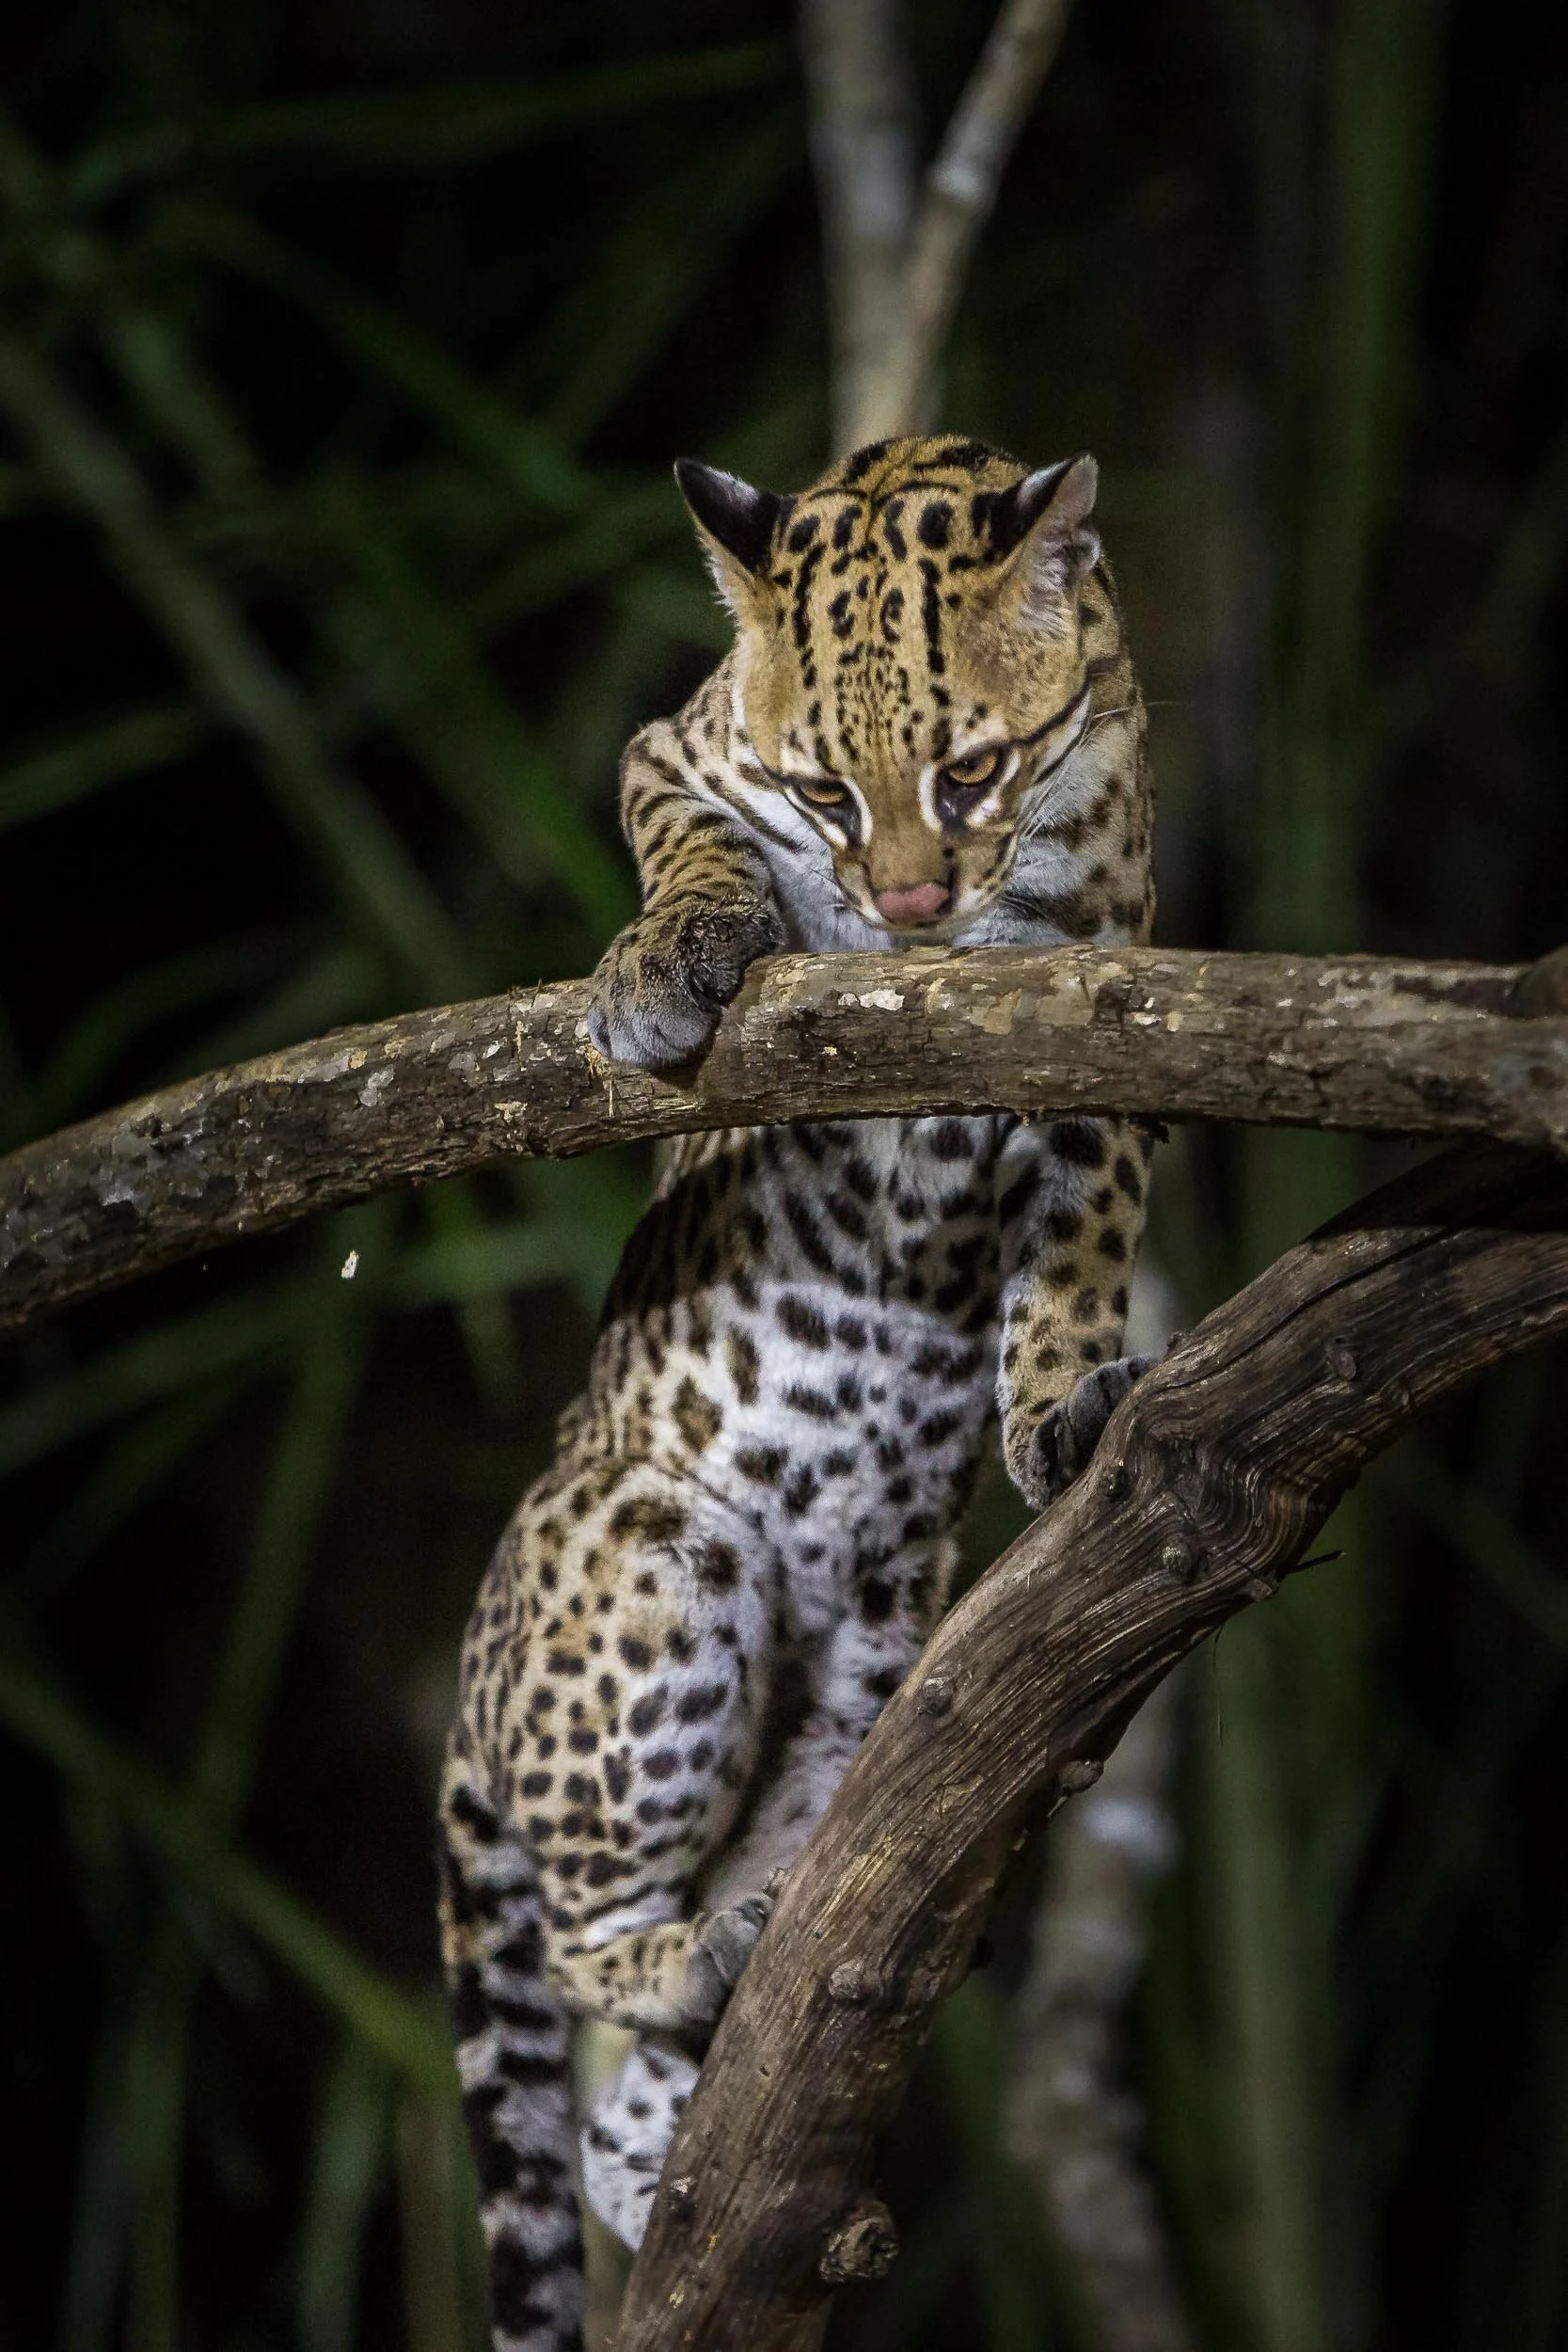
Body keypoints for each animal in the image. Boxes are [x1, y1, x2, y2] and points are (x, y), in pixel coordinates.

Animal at [438, 434, 1157, 2352]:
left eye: (969, 772)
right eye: (827, 794)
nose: (906, 910)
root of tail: (470, 1684)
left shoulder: (1106, 988)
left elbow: (1083, 1222)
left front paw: (1061, 1397)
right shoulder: (675, 749)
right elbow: (689, 834)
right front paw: (667, 966)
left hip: (856, 1705)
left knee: (620, 2097)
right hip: (654, 1568)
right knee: (578, 1937)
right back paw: (694, 1950)